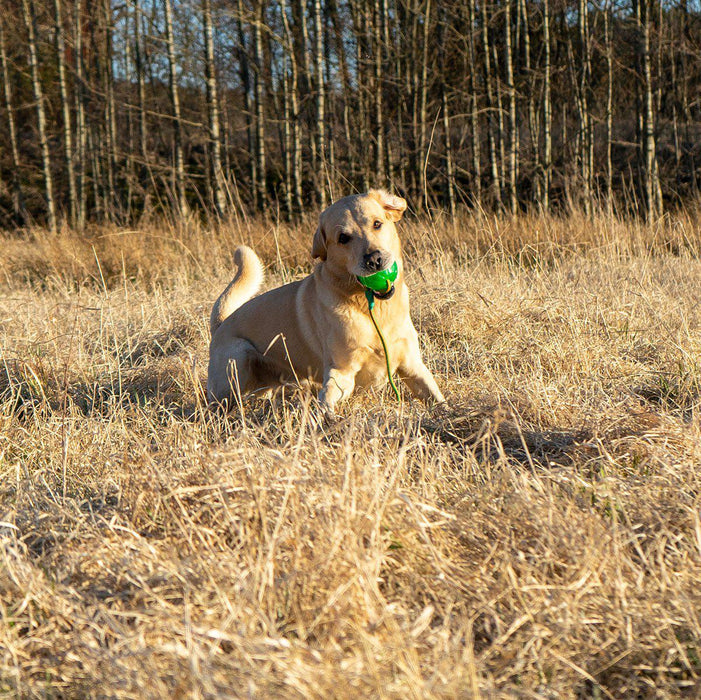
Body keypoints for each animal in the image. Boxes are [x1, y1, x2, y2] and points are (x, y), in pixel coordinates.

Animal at [206, 189, 442, 412]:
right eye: (343, 238)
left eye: (377, 224)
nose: (374, 259)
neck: (371, 309)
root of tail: (222, 323)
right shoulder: (341, 373)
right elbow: (327, 401)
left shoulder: (412, 365)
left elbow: (437, 397)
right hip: (236, 361)